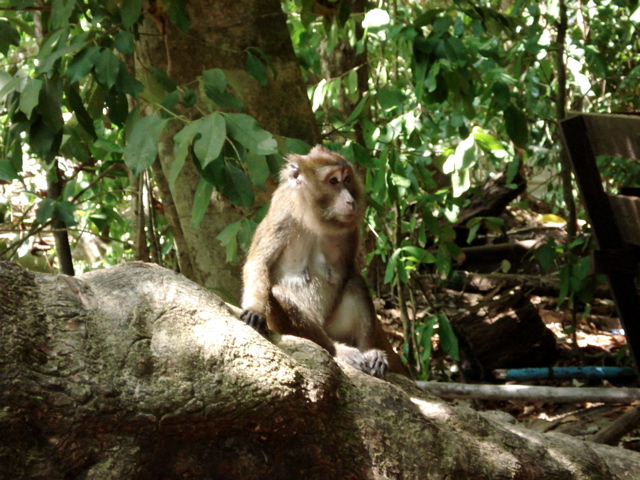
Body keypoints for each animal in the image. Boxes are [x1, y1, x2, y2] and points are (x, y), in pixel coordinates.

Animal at [240, 145, 408, 378]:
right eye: (333, 181)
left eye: (347, 179)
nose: (350, 201)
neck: (313, 217)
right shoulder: (281, 213)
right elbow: (258, 263)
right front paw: (255, 310)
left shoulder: (350, 231)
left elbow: (351, 272)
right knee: (278, 293)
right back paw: (337, 350)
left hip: (336, 325)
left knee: (355, 283)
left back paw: (369, 353)